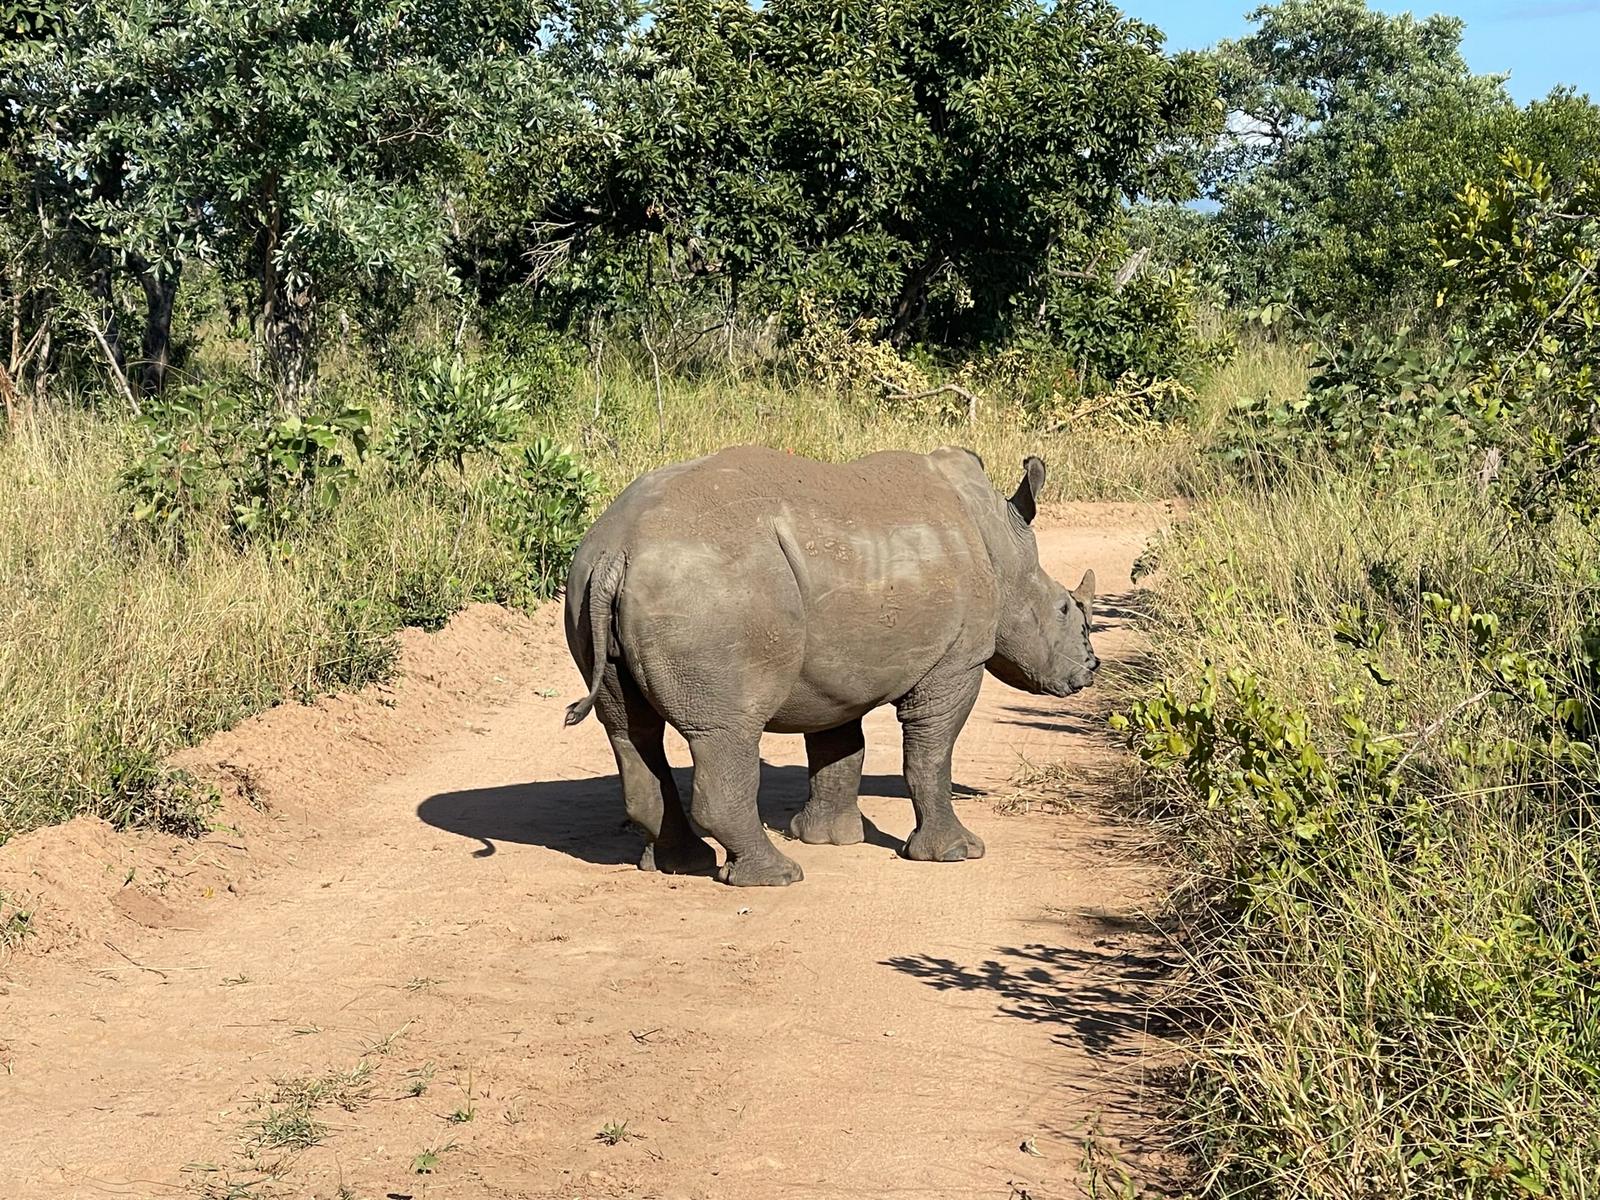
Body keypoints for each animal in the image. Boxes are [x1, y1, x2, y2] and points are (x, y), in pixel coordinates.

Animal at [562, 445, 1098, 886]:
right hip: (712, 591)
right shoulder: (956, 664)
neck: (1002, 550)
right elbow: (931, 753)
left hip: (594, 581)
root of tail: (619, 549)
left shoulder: (838, 670)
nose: (1090, 669)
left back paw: (680, 865)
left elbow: (840, 748)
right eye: (1064, 609)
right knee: (726, 731)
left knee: (630, 730)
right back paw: (777, 877)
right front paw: (957, 854)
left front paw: (830, 838)